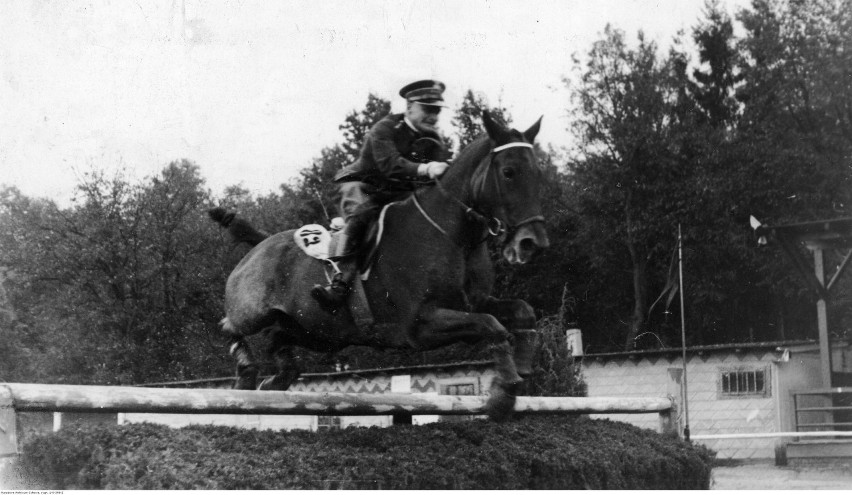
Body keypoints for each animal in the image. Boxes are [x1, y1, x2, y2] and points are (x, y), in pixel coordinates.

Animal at [210, 112, 548, 418]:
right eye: (508, 172)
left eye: (538, 174)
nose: (533, 243)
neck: (453, 236)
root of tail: (261, 243)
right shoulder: (420, 324)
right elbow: (491, 325)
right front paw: (504, 391)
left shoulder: (474, 302)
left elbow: (521, 310)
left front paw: (523, 364)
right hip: (253, 311)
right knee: (230, 325)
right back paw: (246, 371)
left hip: (318, 334)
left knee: (276, 338)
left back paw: (277, 379)